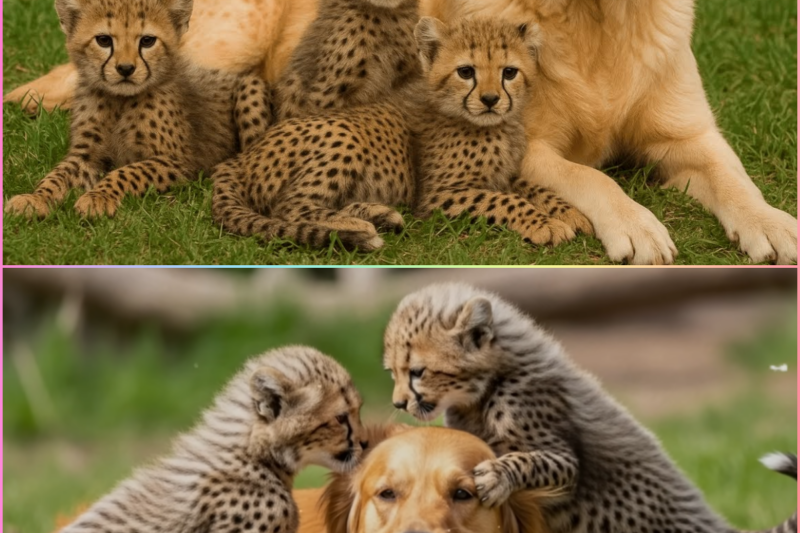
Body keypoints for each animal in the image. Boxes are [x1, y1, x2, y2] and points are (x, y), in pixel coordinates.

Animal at [4, 0, 271, 220]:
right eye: (103, 40)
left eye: (147, 41)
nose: (125, 68)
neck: (119, 102)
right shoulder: (85, 156)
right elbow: (56, 175)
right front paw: (35, 198)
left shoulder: (177, 162)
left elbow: (127, 171)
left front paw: (97, 197)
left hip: (251, 88)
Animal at [383, 282, 797, 533]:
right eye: (393, 373)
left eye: (418, 372)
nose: (398, 403)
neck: (487, 388)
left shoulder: (566, 464)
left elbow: (530, 461)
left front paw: (496, 477)